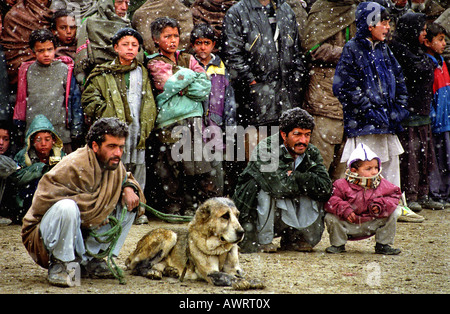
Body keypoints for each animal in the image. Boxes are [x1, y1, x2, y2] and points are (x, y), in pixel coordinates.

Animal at [124, 197, 264, 288]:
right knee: (136, 267)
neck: (220, 249)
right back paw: (152, 272)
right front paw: (239, 282)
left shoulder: (235, 269)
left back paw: (171, 271)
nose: (242, 232)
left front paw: (251, 279)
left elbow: (240, 274)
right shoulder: (210, 273)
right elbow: (227, 276)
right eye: (225, 216)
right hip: (169, 235)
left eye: (237, 215)